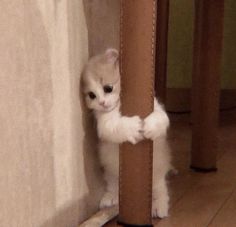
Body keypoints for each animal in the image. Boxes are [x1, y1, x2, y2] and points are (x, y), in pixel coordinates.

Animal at [82, 48, 171, 218]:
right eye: (91, 95)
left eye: (108, 88)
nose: (102, 103)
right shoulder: (105, 123)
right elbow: (117, 126)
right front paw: (134, 127)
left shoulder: (157, 109)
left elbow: (160, 118)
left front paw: (148, 127)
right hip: (111, 172)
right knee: (113, 185)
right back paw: (110, 198)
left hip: (156, 174)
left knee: (159, 190)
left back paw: (159, 207)